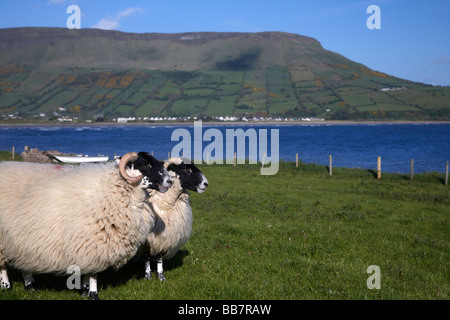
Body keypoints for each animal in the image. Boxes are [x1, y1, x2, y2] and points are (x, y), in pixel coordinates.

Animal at [0, 151, 172, 298]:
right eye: (144, 164)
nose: (170, 181)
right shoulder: (95, 244)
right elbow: (94, 274)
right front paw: (93, 294)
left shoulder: (87, 246)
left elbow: (87, 272)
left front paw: (84, 289)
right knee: (3, 266)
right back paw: (6, 286)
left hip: (20, 239)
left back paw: (30, 286)